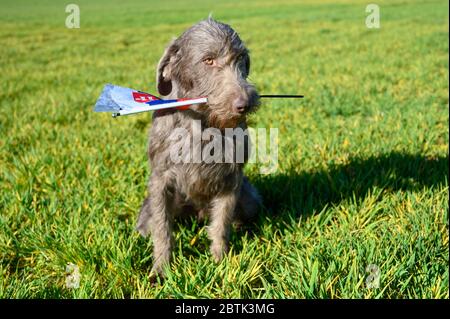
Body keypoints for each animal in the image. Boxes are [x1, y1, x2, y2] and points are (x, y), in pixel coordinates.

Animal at [135, 16, 262, 278]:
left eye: (241, 58)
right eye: (208, 60)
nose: (244, 104)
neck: (202, 123)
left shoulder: (231, 179)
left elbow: (221, 224)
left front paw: (220, 261)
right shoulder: (160, 180)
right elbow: (162, 229)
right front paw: (161, 268)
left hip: (250, 199)